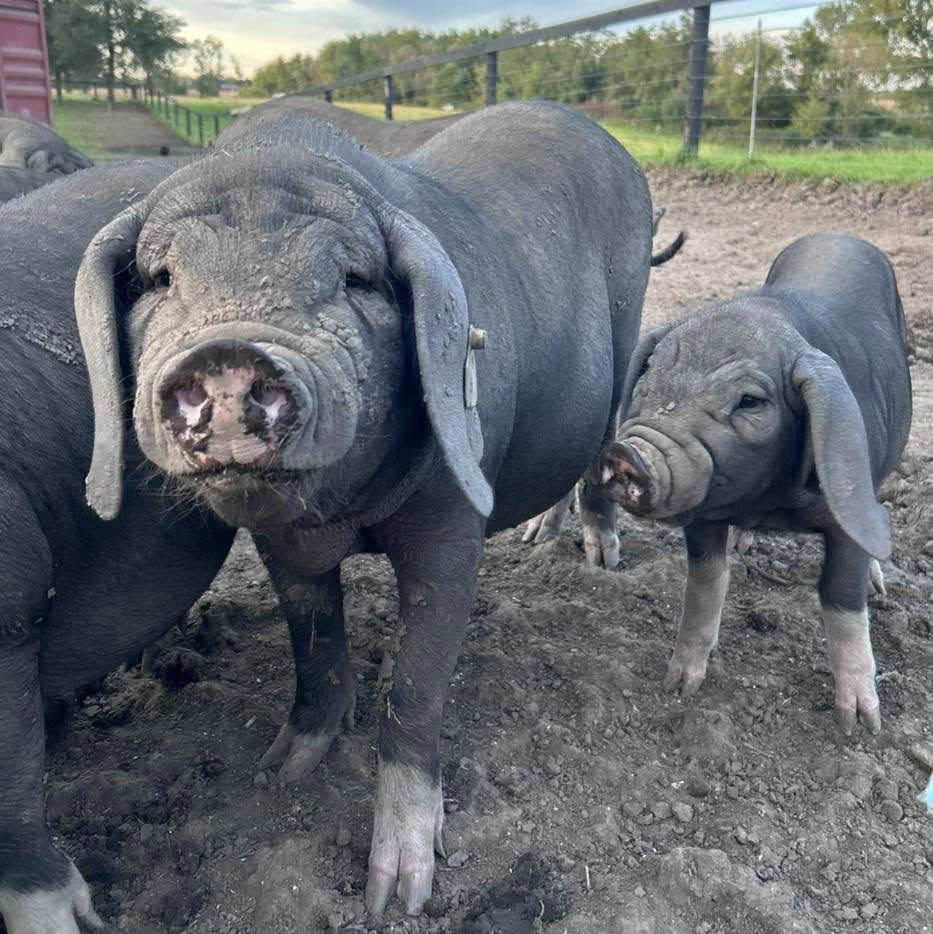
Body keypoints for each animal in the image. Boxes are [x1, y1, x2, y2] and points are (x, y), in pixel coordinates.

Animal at [72, 100, 657, 914]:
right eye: (160, 278)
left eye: (352, 278)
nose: (227, 355)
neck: (340, 516)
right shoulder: (279, 542)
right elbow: (313, 640)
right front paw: (280, 768)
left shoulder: (454, 524)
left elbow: (416, 684)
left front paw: (398, 896)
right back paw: (540, 538)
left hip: (627, 327)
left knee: (604, 442)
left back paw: (601, 560)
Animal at [600, 233, 911, 735]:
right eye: (648, 373)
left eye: (750, 401)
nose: (627, 454)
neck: (769, 503)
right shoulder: (704, 508)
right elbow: (705, 583)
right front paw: (678, 685)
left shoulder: (844, 506)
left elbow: (842, 601)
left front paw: (860, 724)